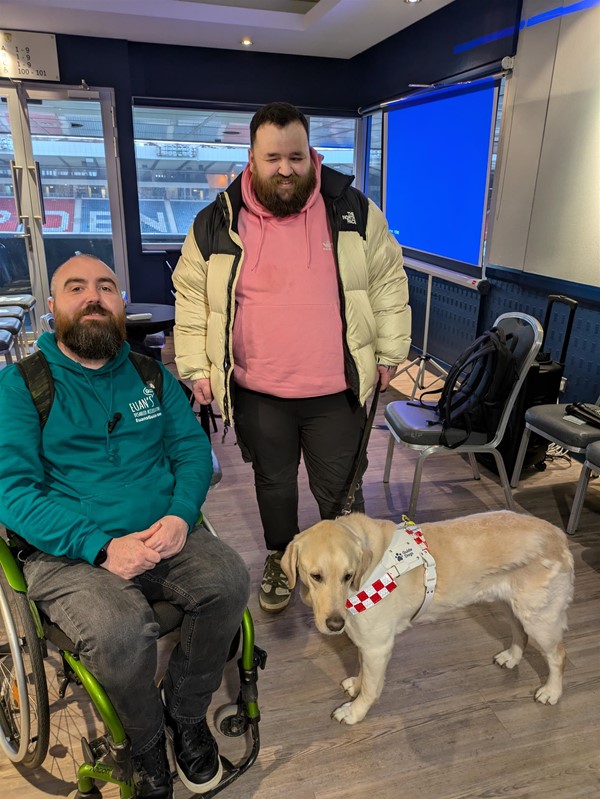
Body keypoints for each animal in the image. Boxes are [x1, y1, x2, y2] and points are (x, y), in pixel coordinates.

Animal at [284, 512, 576, 724]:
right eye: (316, 576)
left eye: (347, 575)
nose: (336, 625)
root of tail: (558, 536)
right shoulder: (366, 640)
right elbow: (362, 671)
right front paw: (355, 684)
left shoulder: (378, 646)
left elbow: (371, 687)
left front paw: (354, 711)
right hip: (509, 604)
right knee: (519, 632)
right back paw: (512, 657)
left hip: (540, 619)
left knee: (558, 656)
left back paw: (552, 691)